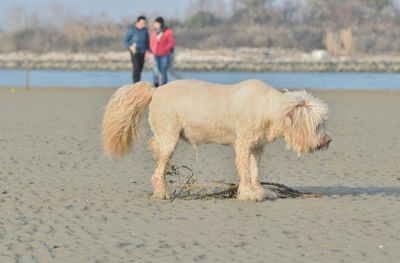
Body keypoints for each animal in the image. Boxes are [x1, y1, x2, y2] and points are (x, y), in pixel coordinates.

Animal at [102, 80, 332, 202]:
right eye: (317, 124)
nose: (329, 140)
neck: (268, 108)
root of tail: (156, 89)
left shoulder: (257, 147)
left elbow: (255, 171)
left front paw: (258, 191)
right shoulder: (243, 144)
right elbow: (245, 172)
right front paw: (247, 194)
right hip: (169, 139)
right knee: (158, 171)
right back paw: (163, 193)